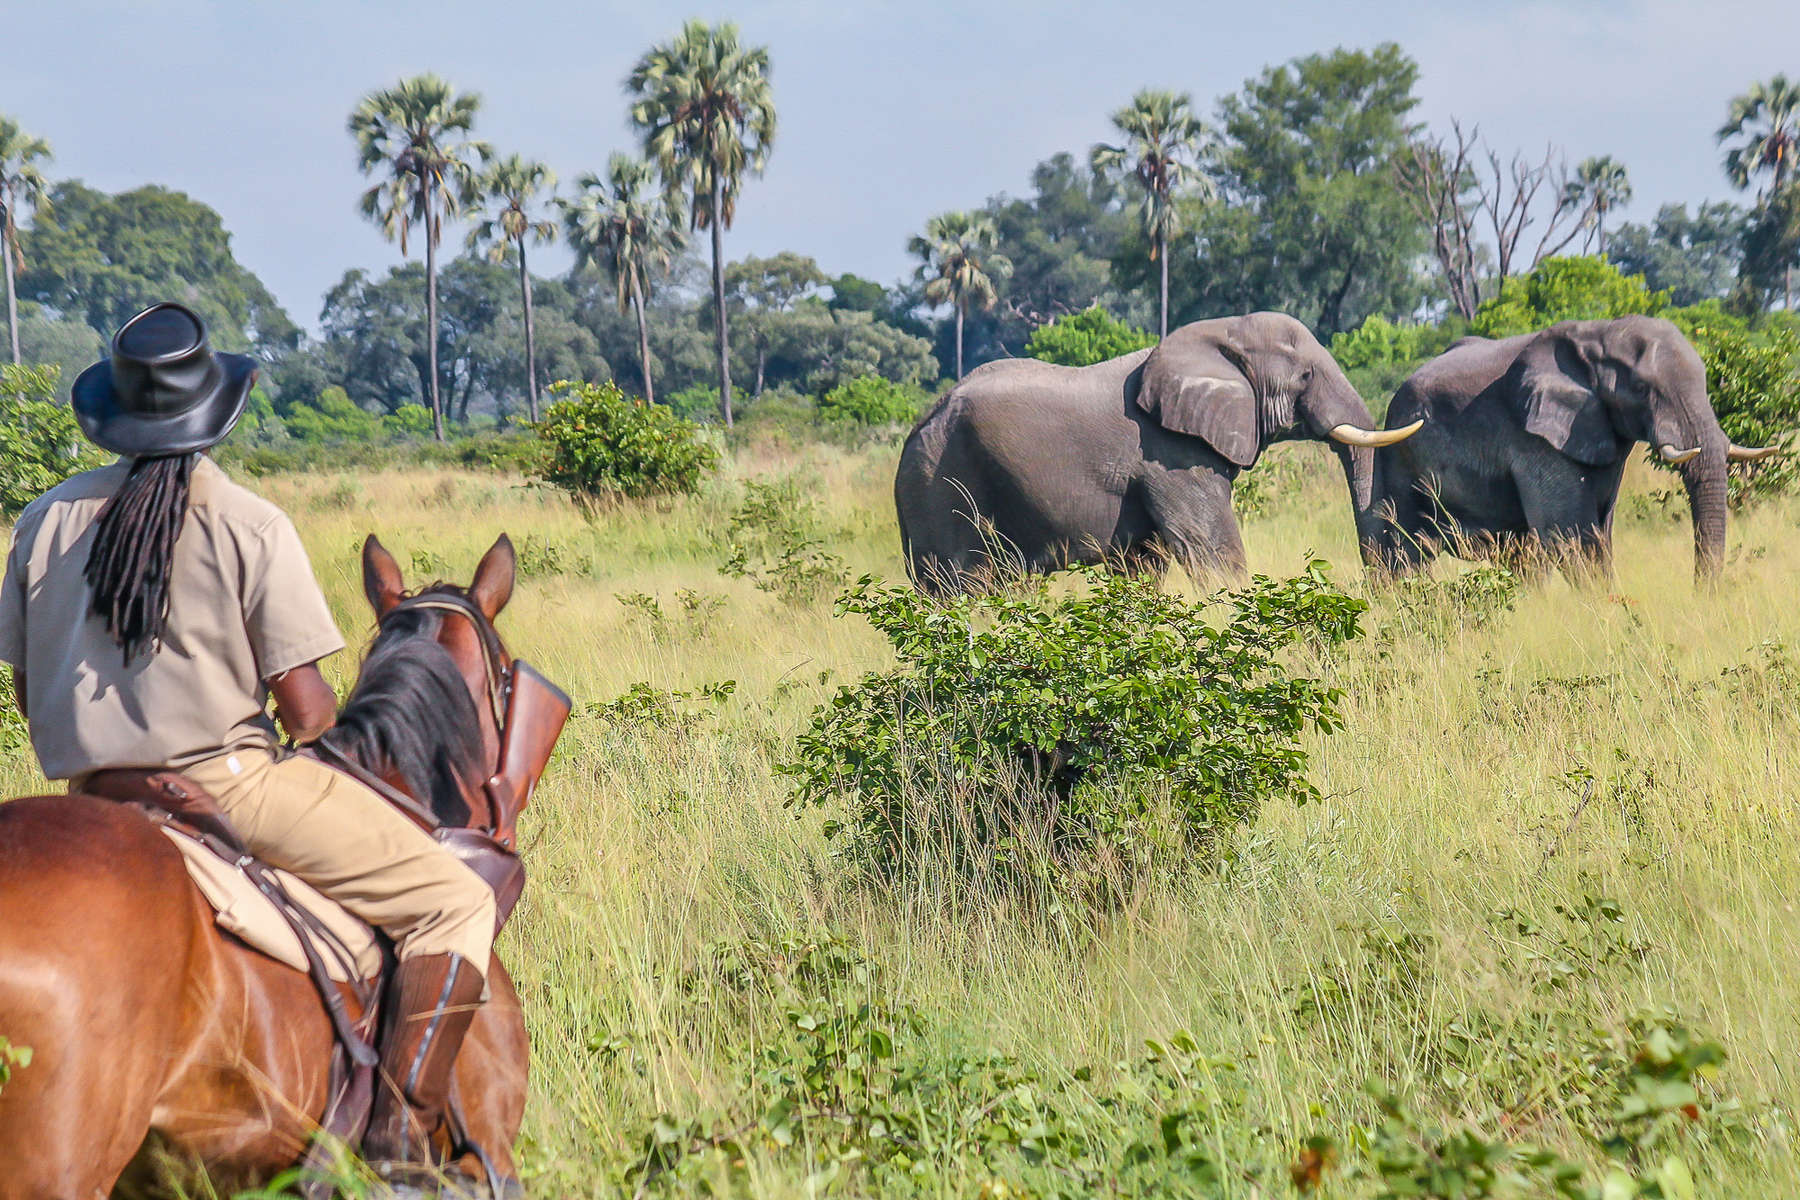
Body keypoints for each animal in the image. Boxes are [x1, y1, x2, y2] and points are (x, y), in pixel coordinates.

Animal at [889, 309, 1418, 590]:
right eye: (1306, 376)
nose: (1384, 587)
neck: (1220, 334)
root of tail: (917, 429)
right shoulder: (1171, 454)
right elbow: (1209, 547)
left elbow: (1144, 563)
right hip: (941, 486)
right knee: (961, 588)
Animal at [1368, 314, 1778, 582]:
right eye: (1643, 389)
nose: (1701, 597)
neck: (1599, 335)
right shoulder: (1533, 438)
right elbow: (1571, 536)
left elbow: (1601, 533)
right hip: (1400, 451)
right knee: (1408, 548)